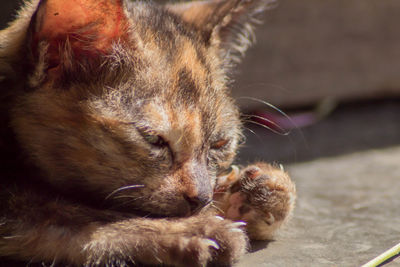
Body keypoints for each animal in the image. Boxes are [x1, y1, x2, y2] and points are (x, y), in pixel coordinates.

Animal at [0, 0, 294, 266]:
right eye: (154, 139)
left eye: (219, 144)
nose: (202, 198)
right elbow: (70, 214)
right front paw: (192, 230)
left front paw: (251, 192)